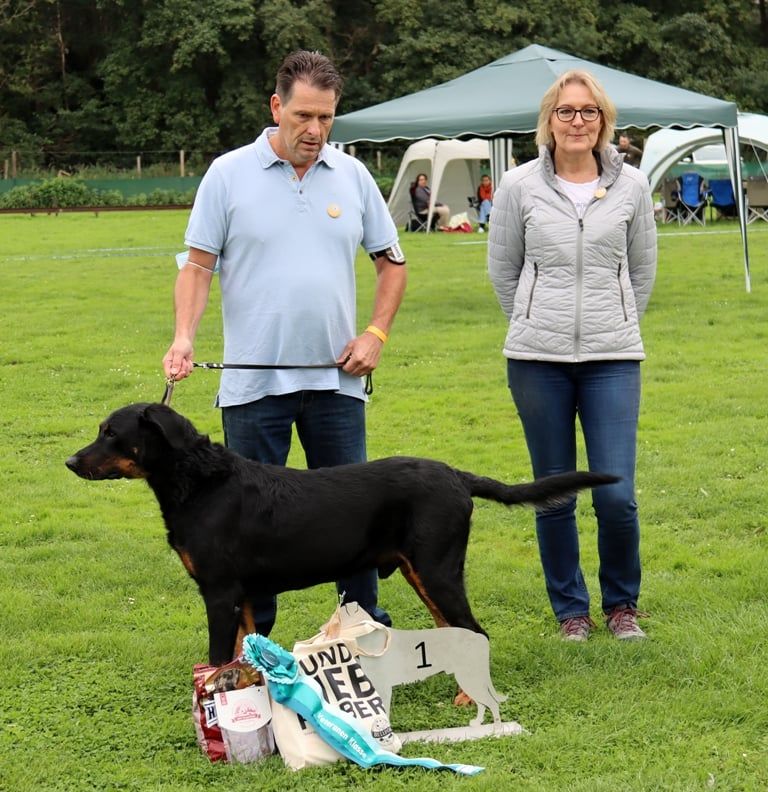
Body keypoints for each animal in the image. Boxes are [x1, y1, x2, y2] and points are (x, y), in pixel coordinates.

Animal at [64, 400, 616, 664]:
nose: (70, 462)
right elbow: (242, 654)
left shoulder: (218, 593)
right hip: (424, 573)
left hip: (437, 570)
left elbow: (217, 658)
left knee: (474, 631)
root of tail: (457, 476)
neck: (199, 482)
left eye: (111, 433)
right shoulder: (241, 595)